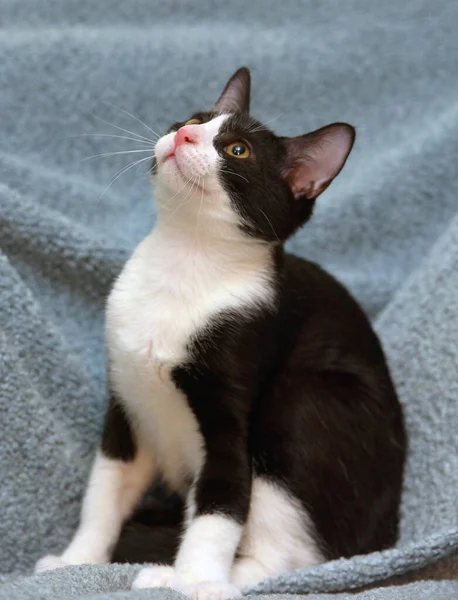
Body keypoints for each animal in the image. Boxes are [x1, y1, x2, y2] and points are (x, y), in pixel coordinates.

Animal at [36, 67, 408, 600]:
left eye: (237, 150)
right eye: (195, 120)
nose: (185, 136)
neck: (185, 263)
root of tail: (386, 533)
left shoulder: (232, 404)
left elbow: (221, 502)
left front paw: (192, 580)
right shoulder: (126, 402)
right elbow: (105, 488)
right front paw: (77, 560)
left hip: (305, 397)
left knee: (293, 557)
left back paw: (203, 577)